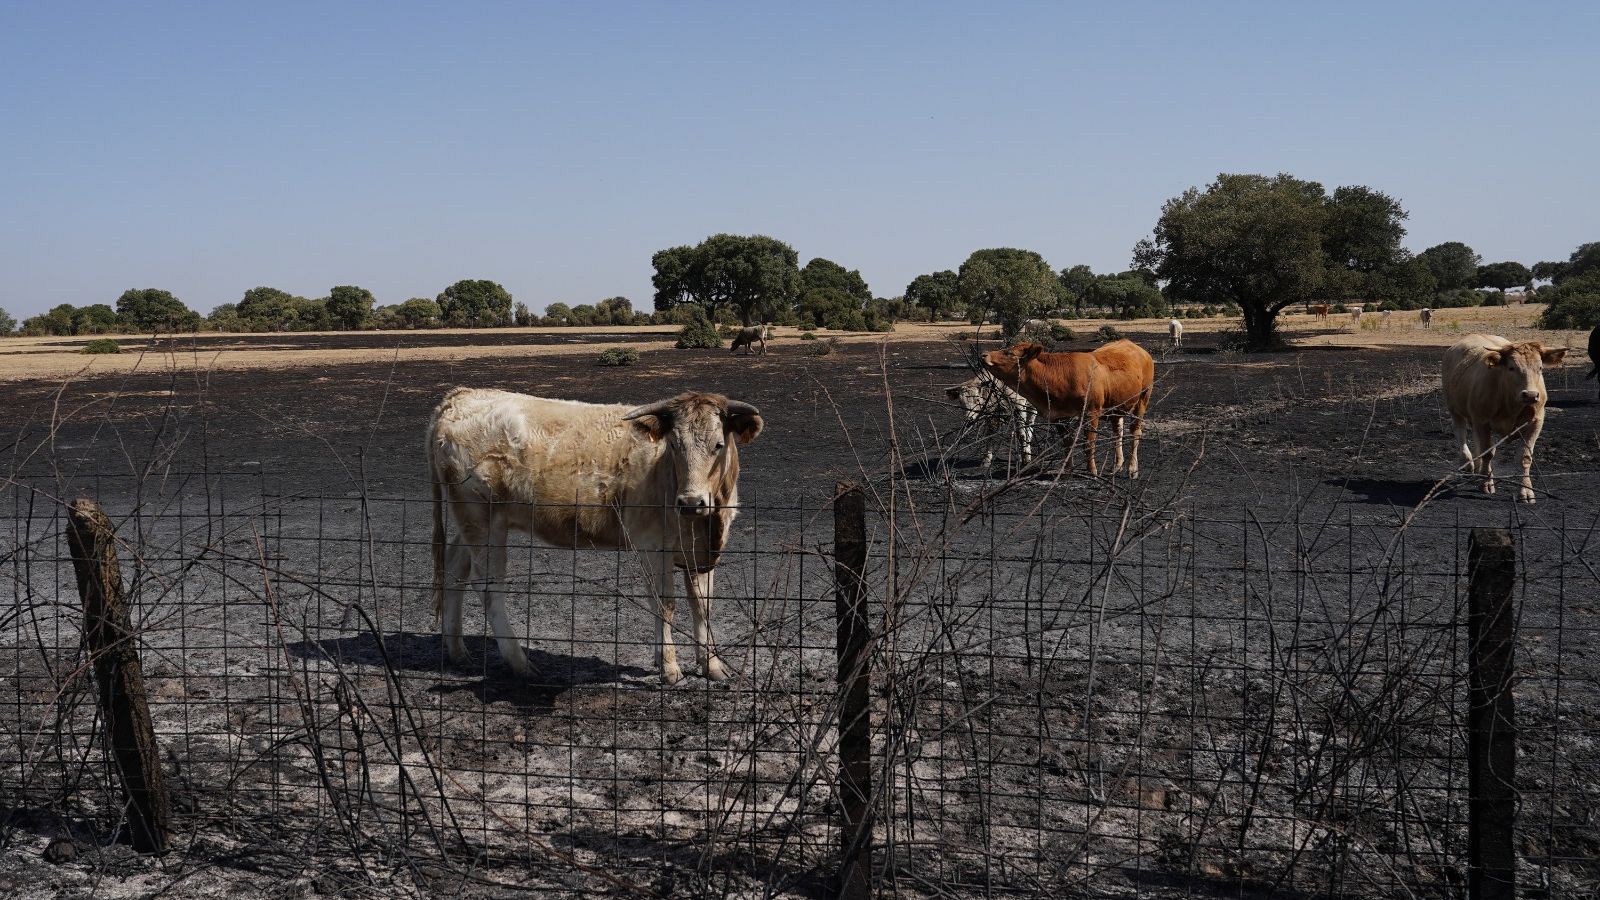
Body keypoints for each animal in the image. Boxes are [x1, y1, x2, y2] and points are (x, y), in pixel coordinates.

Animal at [428, 389, 763, 683]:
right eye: (674, 445)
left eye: (718, 445)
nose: (691, 502)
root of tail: (462, 396)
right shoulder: (651, 546)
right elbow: (664, 604)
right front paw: (669, 668)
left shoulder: (699, 553)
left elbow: (702, 606)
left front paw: (712, 666)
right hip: (482, 520)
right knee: (488, 586)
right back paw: (521, 664)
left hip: (474, 522)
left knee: (455, 569)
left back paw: (458, 652)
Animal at [980, 340, 1155, 478]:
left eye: (1009, 353)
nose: (984, 355)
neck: (1061, 375)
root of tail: (1138, 349)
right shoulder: (1059, 416)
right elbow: (1067, 443)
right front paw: (1067, 470)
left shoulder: (1091, 413)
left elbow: (1088, 443)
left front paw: (1092, 471)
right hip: (1117, 407)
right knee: (1118, 432)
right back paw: (1117, 466)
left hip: (1143, 399)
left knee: (1135, 432)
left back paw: (1132, 469)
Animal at [1442, 334, 1567, 503]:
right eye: (1511, 367)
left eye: (1540, 368)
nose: (1531, 395)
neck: (1510, 401)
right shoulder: (1482, 420)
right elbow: (1488, 453)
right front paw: (1487, 483)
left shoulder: (1535, 423)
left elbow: (1524, 457)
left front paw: (1526, 491)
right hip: (1455, 409)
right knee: (1460, 432)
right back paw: (1467, 464)